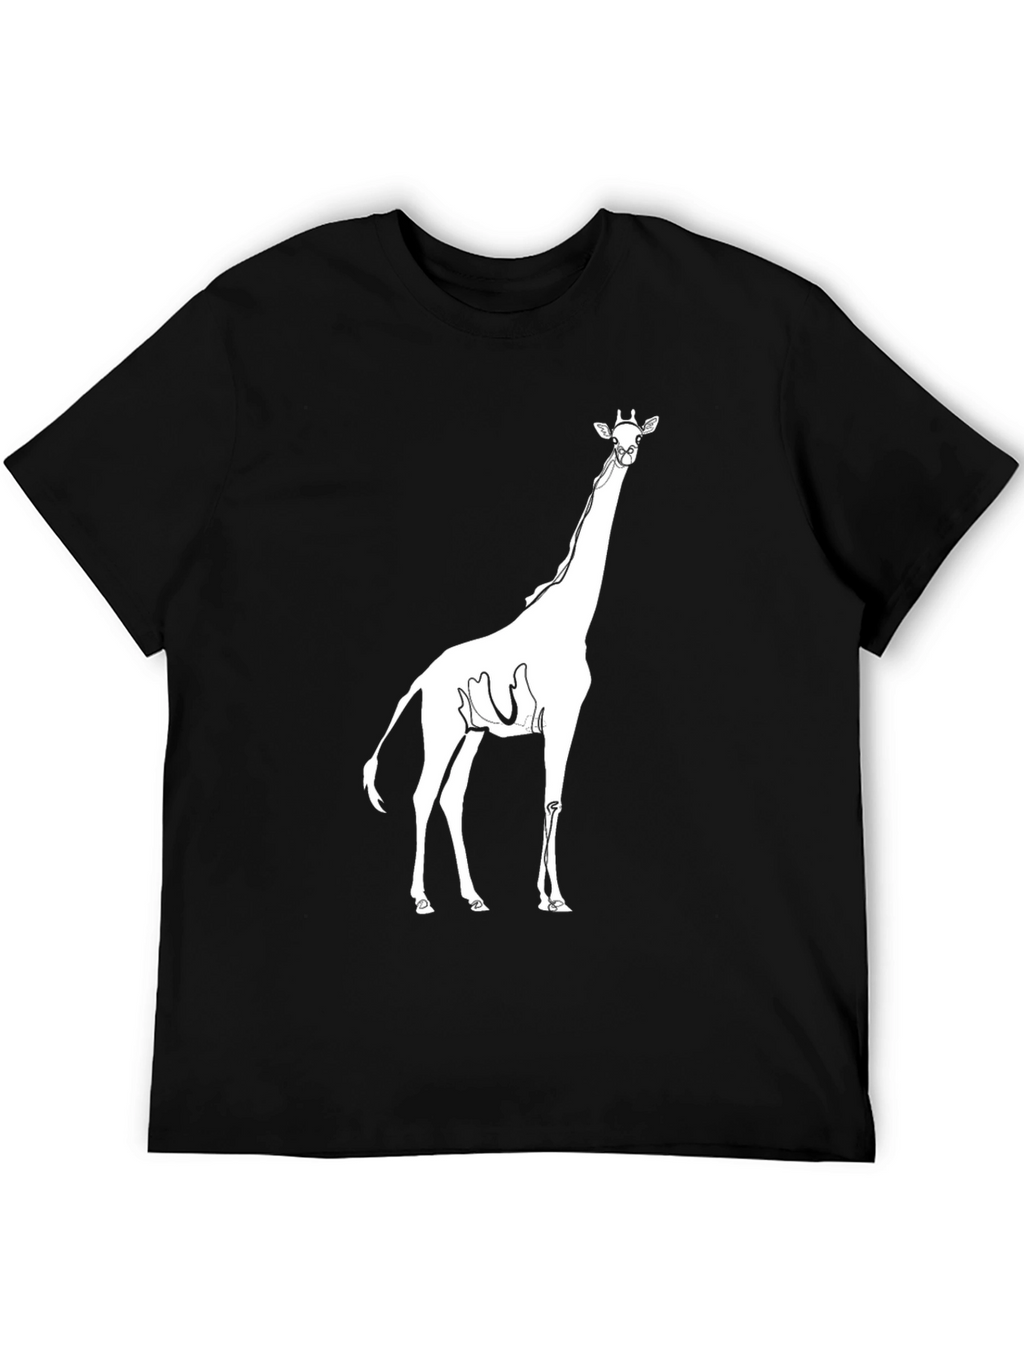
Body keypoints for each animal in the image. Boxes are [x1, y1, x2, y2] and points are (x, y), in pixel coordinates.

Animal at [363, 410, 659, 914]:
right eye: (615, 437)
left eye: (638, 437)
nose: (626, 454)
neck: (571, 619)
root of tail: (422, 677)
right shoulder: (562, 716)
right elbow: (552, 801)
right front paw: (554, 897)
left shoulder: (561, 718)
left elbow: (550, 800)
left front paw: (543, 894)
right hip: (442, 726)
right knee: (424, 794)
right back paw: (422, 899)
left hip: (472, 731)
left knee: (452, 796)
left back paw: (474, 897)